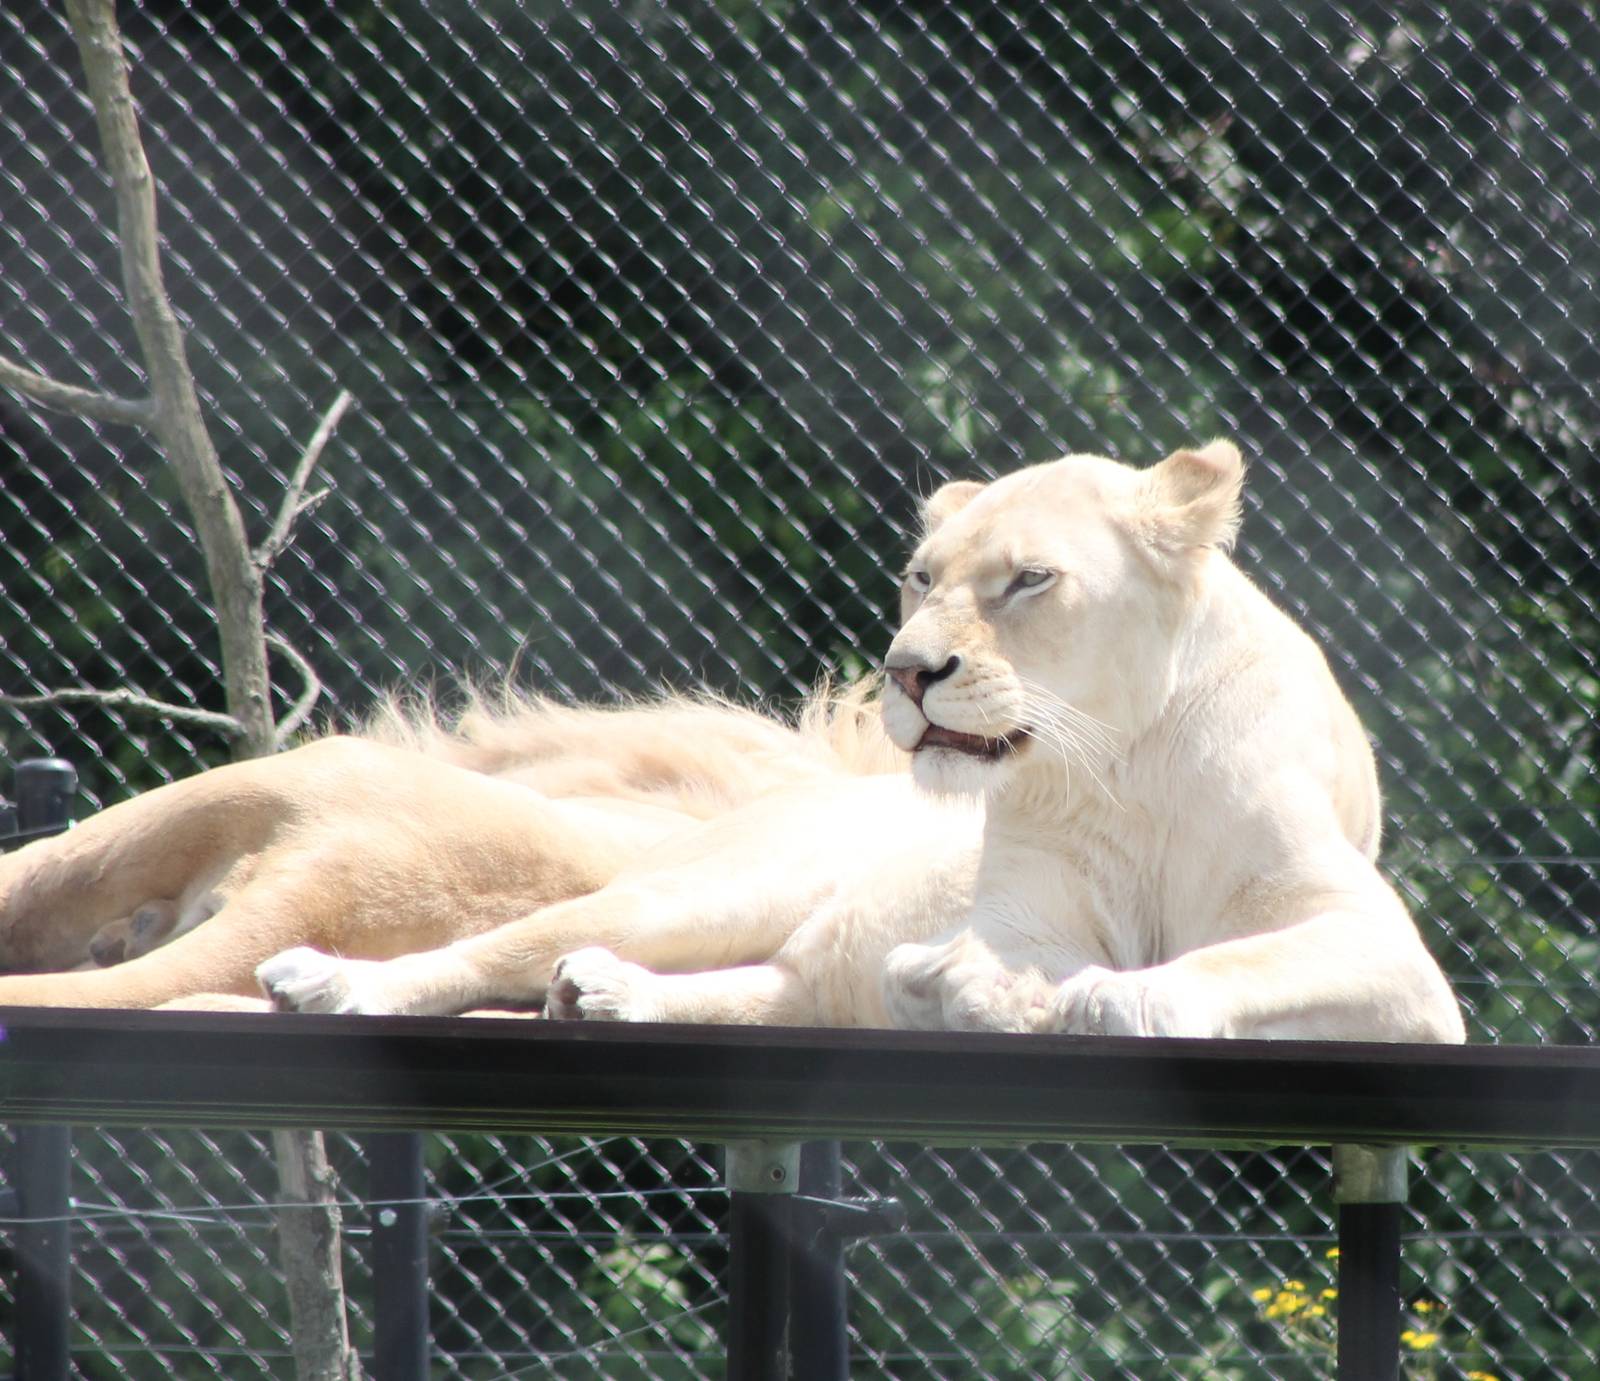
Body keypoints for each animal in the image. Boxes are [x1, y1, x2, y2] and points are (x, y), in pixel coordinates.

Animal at [0, 441, 1464, 1042]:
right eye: (919, 576)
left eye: (1028, 583)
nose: (907, 671)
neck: (1122, 756)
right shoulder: (1024, 904)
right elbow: (1019, 956)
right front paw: (997, 985)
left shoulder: (1395, 966)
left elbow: (1242, 961)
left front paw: (1100, 996)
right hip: (697, 888)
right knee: (499, 949)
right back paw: (347, 983)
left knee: (779, 983)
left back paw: (615, 994)